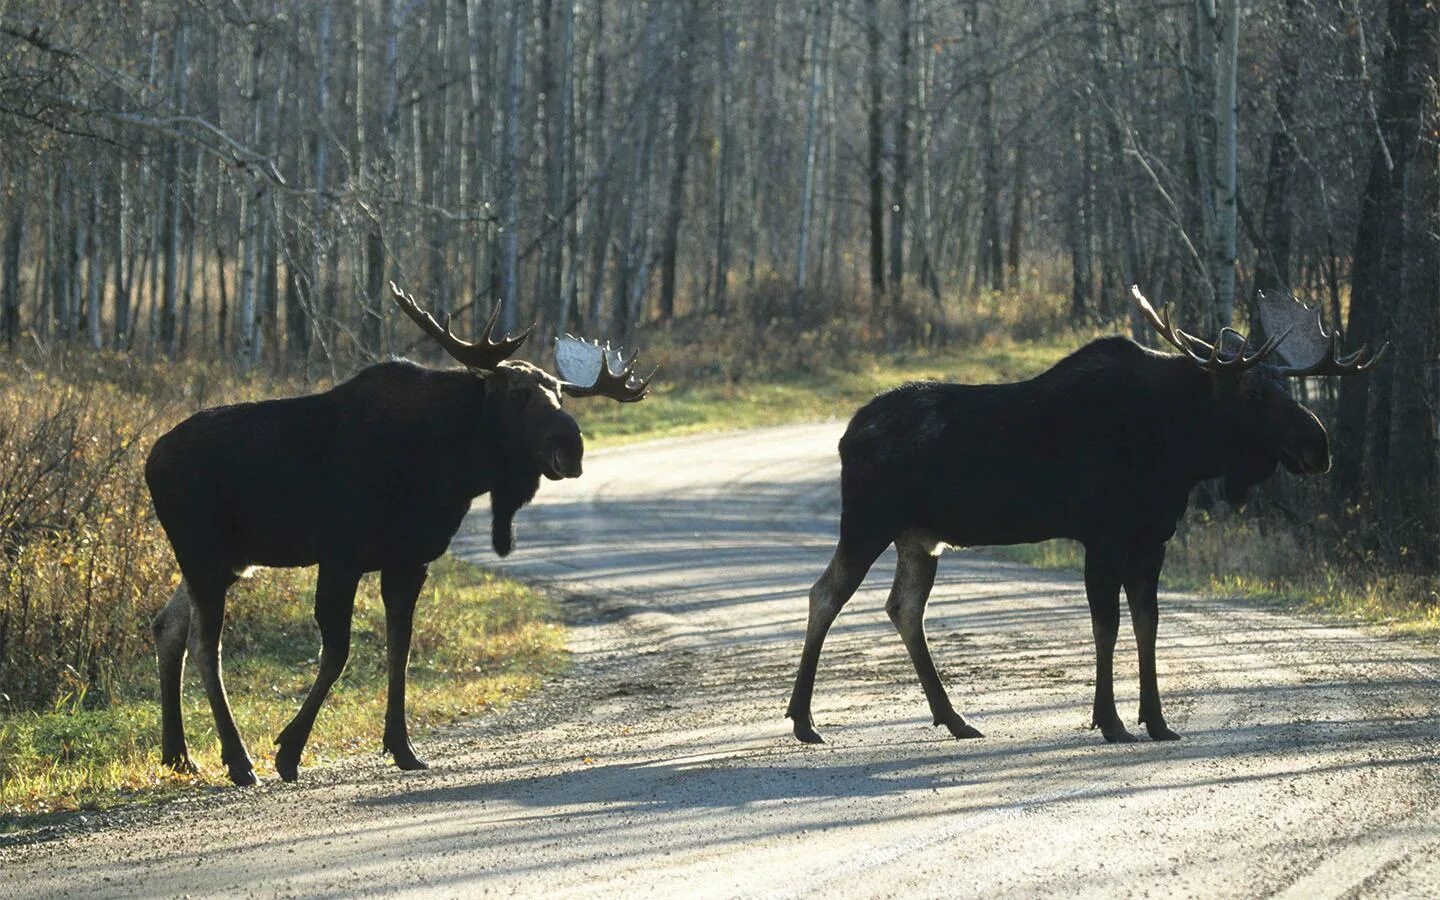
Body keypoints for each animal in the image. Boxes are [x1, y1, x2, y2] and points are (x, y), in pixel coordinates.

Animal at [146, 283, 653, 783]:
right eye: (519, 392)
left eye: (561, 396)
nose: (571, 447)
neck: (454, 469)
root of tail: (151, 461)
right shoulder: (342, 556)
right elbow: (338, 653)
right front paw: (289, 750)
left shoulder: (410, 560)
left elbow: (399, 649)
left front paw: (402, 747)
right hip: (203, 555)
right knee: (206, 646)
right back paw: (237, 758)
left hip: (227, 560)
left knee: (167, 627)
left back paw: (178, 754)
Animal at [789, 286, 1382, 743]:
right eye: (1257, 392)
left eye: (1287, 386)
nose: (1318, 445)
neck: (1177, 452)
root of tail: (846, 435)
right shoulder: (1102, 535)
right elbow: (1107, 626)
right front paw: (1111, 721)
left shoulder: (1151, 537)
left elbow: (1147, 623)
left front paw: (1157, 721)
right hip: (868, 522)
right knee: (826, 595)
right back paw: (804, 720)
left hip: (919, 536)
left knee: (904, 608)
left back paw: (953, 719)